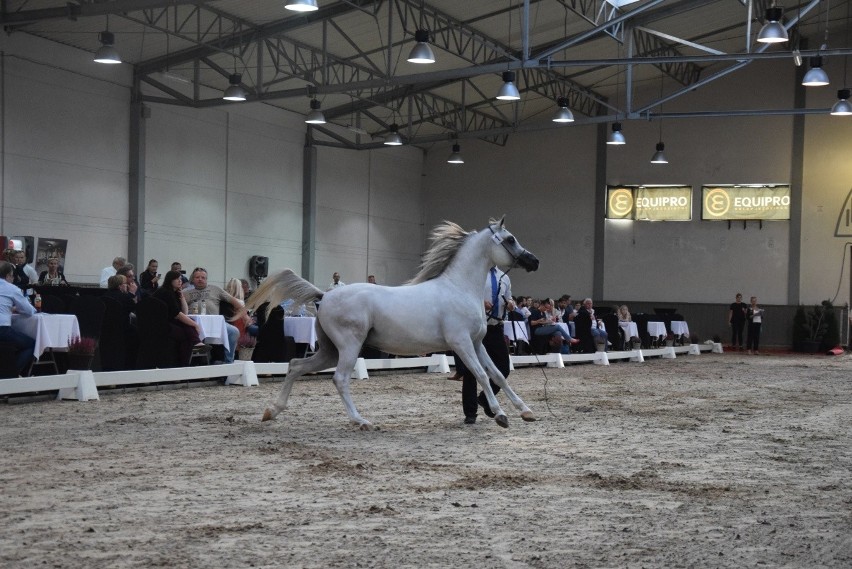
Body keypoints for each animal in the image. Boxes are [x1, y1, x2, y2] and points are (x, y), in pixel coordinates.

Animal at [246, 215, 540, 428]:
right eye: (510, 239)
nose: (534, 261)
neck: (459, 288)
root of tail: (324, 295)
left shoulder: (477, 343)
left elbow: (497, 374)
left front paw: (525, 411)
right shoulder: (461, 343)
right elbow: (480, 375)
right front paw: (501, 416)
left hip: (330, 350)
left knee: (296, 365)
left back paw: (271, 411)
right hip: (349, 346)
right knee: (340, 379)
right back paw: (361, 421)